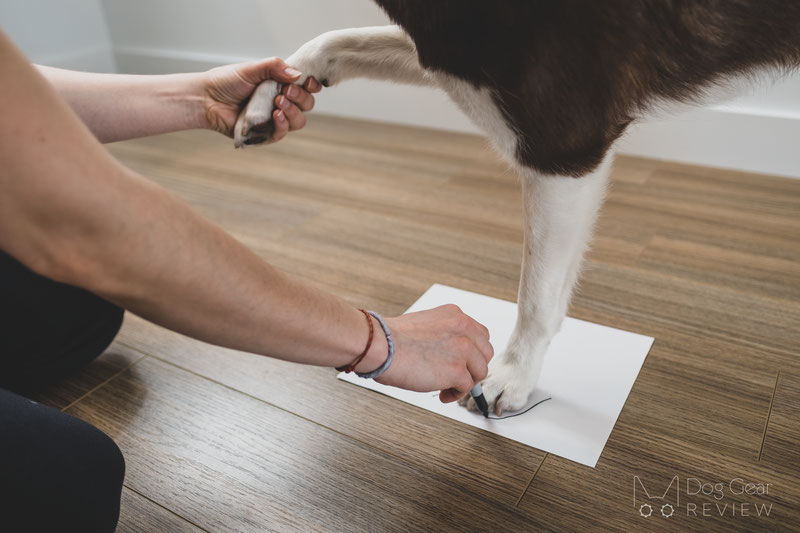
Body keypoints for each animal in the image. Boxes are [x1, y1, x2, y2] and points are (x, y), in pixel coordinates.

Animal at [231, 0, 800, 414]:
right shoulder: (456, 54)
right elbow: (339, 37)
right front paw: (264, 94)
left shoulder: (562, 146)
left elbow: (537, 295)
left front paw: (512, 375)